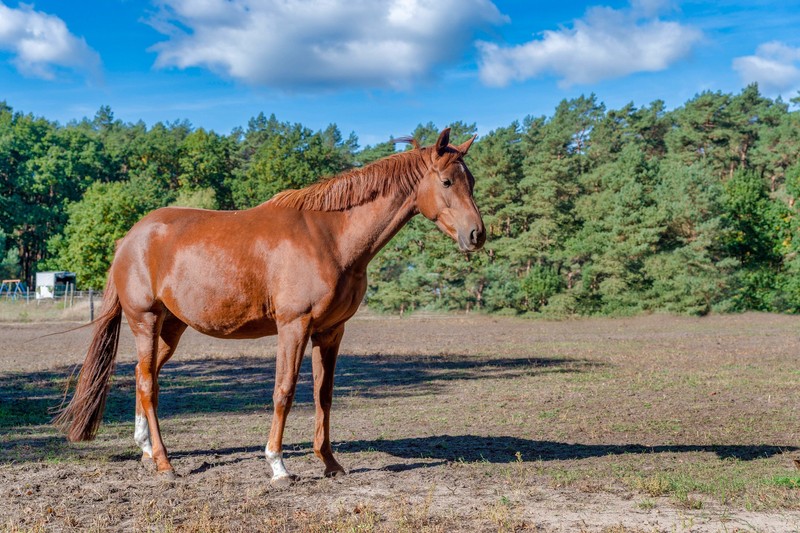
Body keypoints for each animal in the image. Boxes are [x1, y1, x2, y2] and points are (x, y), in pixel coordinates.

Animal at [54, 127, 488, 484]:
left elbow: (323, 394)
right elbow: (284, 391)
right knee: (147, 383)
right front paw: (278, 465)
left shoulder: (330, 332)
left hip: (171, 327)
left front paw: (329, 463)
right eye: (446, 181)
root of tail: (130, 238)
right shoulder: (293, 326)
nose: (476, 234)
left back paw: (145, 450)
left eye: (471, 180)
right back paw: (163, 462)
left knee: (145, 377)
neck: (330, 237)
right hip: (144, 320)